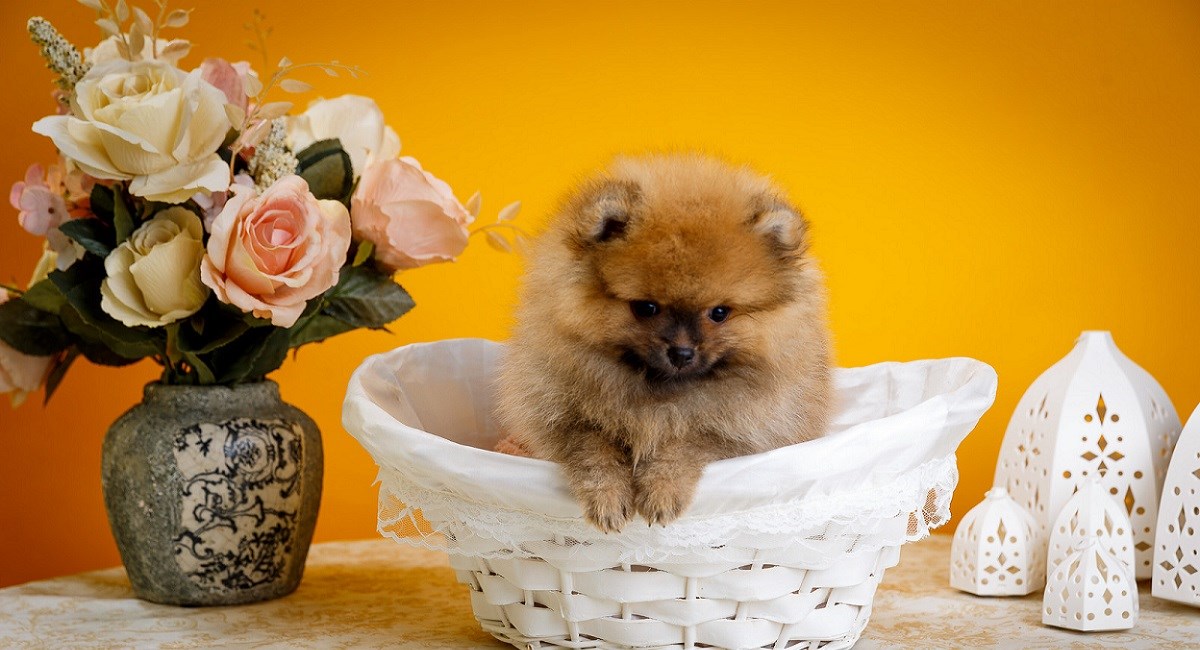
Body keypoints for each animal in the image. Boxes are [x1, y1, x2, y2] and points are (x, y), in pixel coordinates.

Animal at [492, 155, 830, 532]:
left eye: (719, 313)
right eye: (646, 307)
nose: (682, 352)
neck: (658, 393)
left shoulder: (737, 429)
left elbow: (682, 446)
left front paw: (661, 494)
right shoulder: (560, 412)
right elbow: (594, 451)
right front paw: (608, 500)